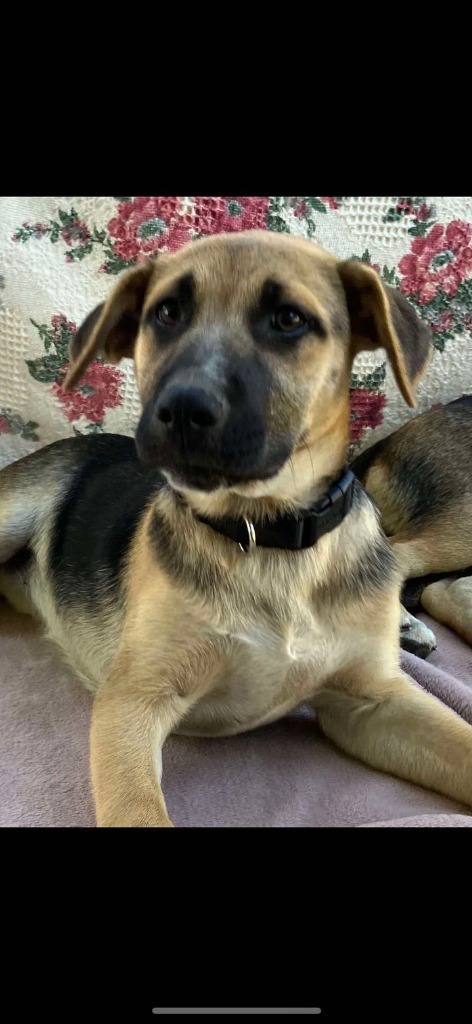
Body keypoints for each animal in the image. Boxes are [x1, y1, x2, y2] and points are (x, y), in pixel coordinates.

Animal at [0, 230, 470, 823]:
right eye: (166, 314)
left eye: (289, 319)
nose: (180, 409)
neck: (268, 535)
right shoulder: (133, 697)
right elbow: (137, 807)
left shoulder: (375, 702)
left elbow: (461, 742)